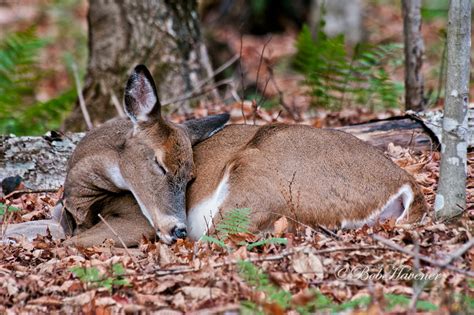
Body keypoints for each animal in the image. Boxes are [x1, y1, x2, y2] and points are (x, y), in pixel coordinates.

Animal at [2, 64, 426, 247]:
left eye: (191, 176)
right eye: (159, 164)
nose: (176, 228)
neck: (82, 199)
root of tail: (406, 184)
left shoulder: (134, 221)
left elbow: (63, 245)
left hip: (262, 173)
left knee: (224, 236)